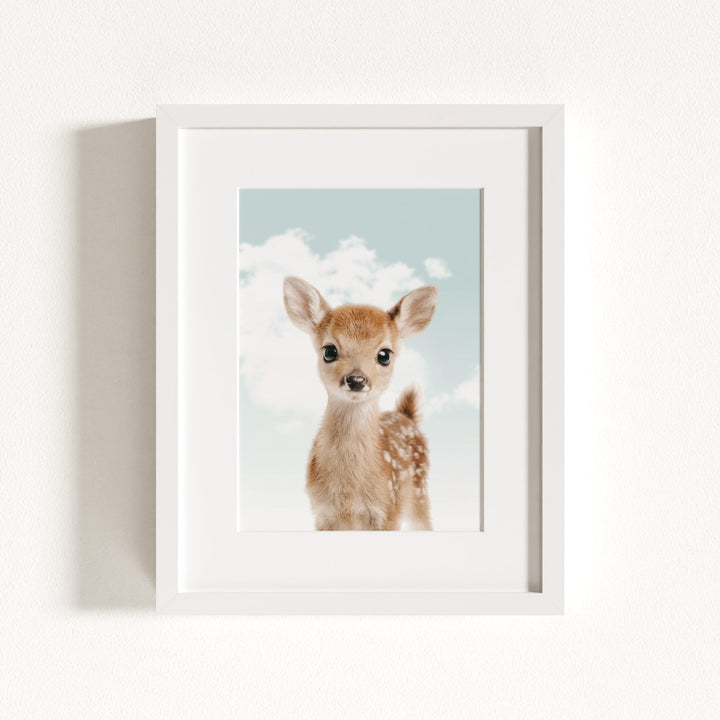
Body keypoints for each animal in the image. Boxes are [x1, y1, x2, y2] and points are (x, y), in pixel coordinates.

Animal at [282, 276, 438, 531]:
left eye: (384, 355)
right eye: (329, 351)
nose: (356, 380)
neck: (348, 494)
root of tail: (407, 415)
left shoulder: (388, 511)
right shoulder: (322, 514)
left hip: (419, 491)